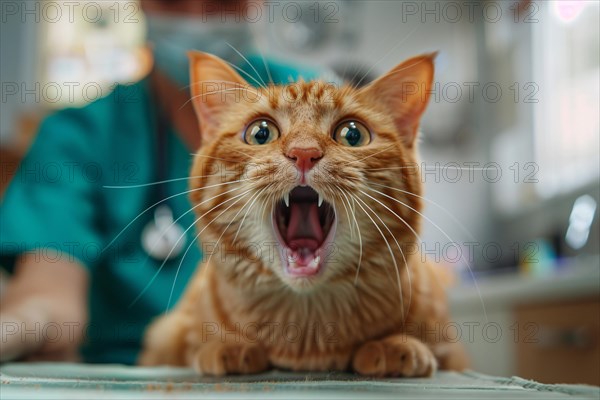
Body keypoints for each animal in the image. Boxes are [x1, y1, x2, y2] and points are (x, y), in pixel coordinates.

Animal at [138, 51, 466, 376]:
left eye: (352, 134)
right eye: (261, 133)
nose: (304, 152)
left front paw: (391, 344)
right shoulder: (165, 335)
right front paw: (227, 345)